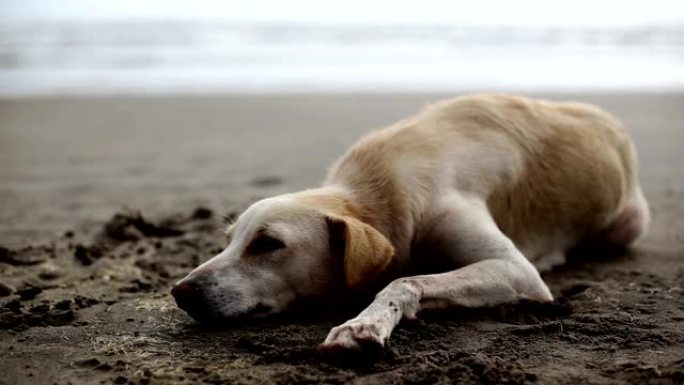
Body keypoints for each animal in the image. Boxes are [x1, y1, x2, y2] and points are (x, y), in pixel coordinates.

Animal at [170, 94, 648, 352]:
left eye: (269, 243)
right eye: (227, 241)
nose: (179, 291)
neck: (378, 194)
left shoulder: (516, 270)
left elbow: (404, 280)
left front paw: (364, 323)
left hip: (629, 224)